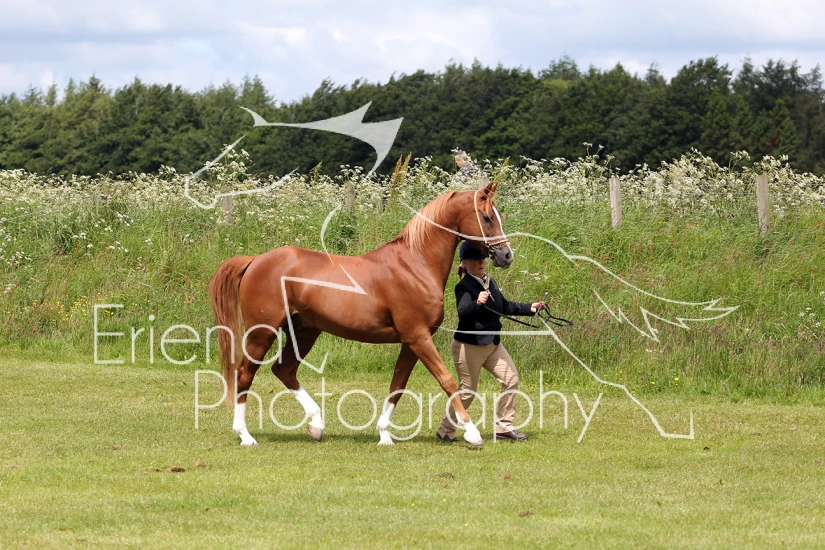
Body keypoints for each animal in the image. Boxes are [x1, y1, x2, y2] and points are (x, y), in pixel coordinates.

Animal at [209, 180, 513, 446]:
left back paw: (316, 425)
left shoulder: (410, 342)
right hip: (262, 332)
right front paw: (472, 432)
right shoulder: (418, 337)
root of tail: (255, 260)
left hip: (304, 331)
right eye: (487, 217)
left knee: (283, 369)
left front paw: (384, 435)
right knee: (244, 373)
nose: (506, 255)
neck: (415, 264)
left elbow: (397, 386)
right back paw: (246, 436)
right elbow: (446, 380)